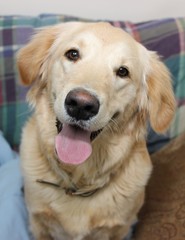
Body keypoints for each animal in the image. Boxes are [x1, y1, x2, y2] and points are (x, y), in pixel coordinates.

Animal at [18, 21, 176, 239]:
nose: (81, 105)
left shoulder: (119, 229)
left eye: (123, 72)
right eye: (73, 54)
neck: (79, 179)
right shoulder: (38, 223)